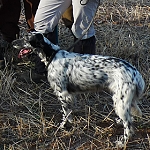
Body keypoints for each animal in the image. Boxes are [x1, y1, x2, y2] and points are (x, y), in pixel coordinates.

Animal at [13, 31, 145, 145]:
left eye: (25, 38)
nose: (13, 43)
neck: (52, 55)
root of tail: (135, 73)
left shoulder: (63, 94)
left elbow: (65, 113)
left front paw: (63, 126)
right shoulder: (70, 95)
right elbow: (69, 112)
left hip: (120, 102)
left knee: (129, 125)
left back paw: (123, 142)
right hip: (124, 101)